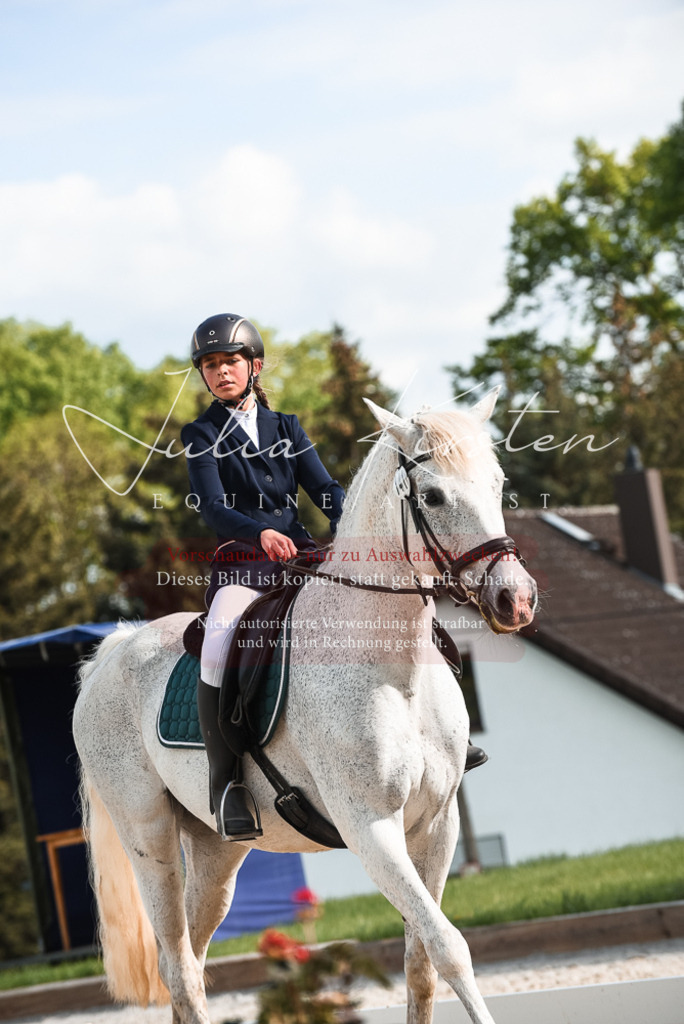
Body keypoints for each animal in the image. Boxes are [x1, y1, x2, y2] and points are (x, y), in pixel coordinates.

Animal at [73, 392, 537, 1024]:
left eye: (497, 483)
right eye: (435, 497)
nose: (516, 599)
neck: (396, 673)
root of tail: (114, 648)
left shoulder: (437, 825)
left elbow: (422, 961)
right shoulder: (370, 828)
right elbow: (450, 947)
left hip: (216, 849)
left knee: (189, 956)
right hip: (149, 837)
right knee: (177, 964)